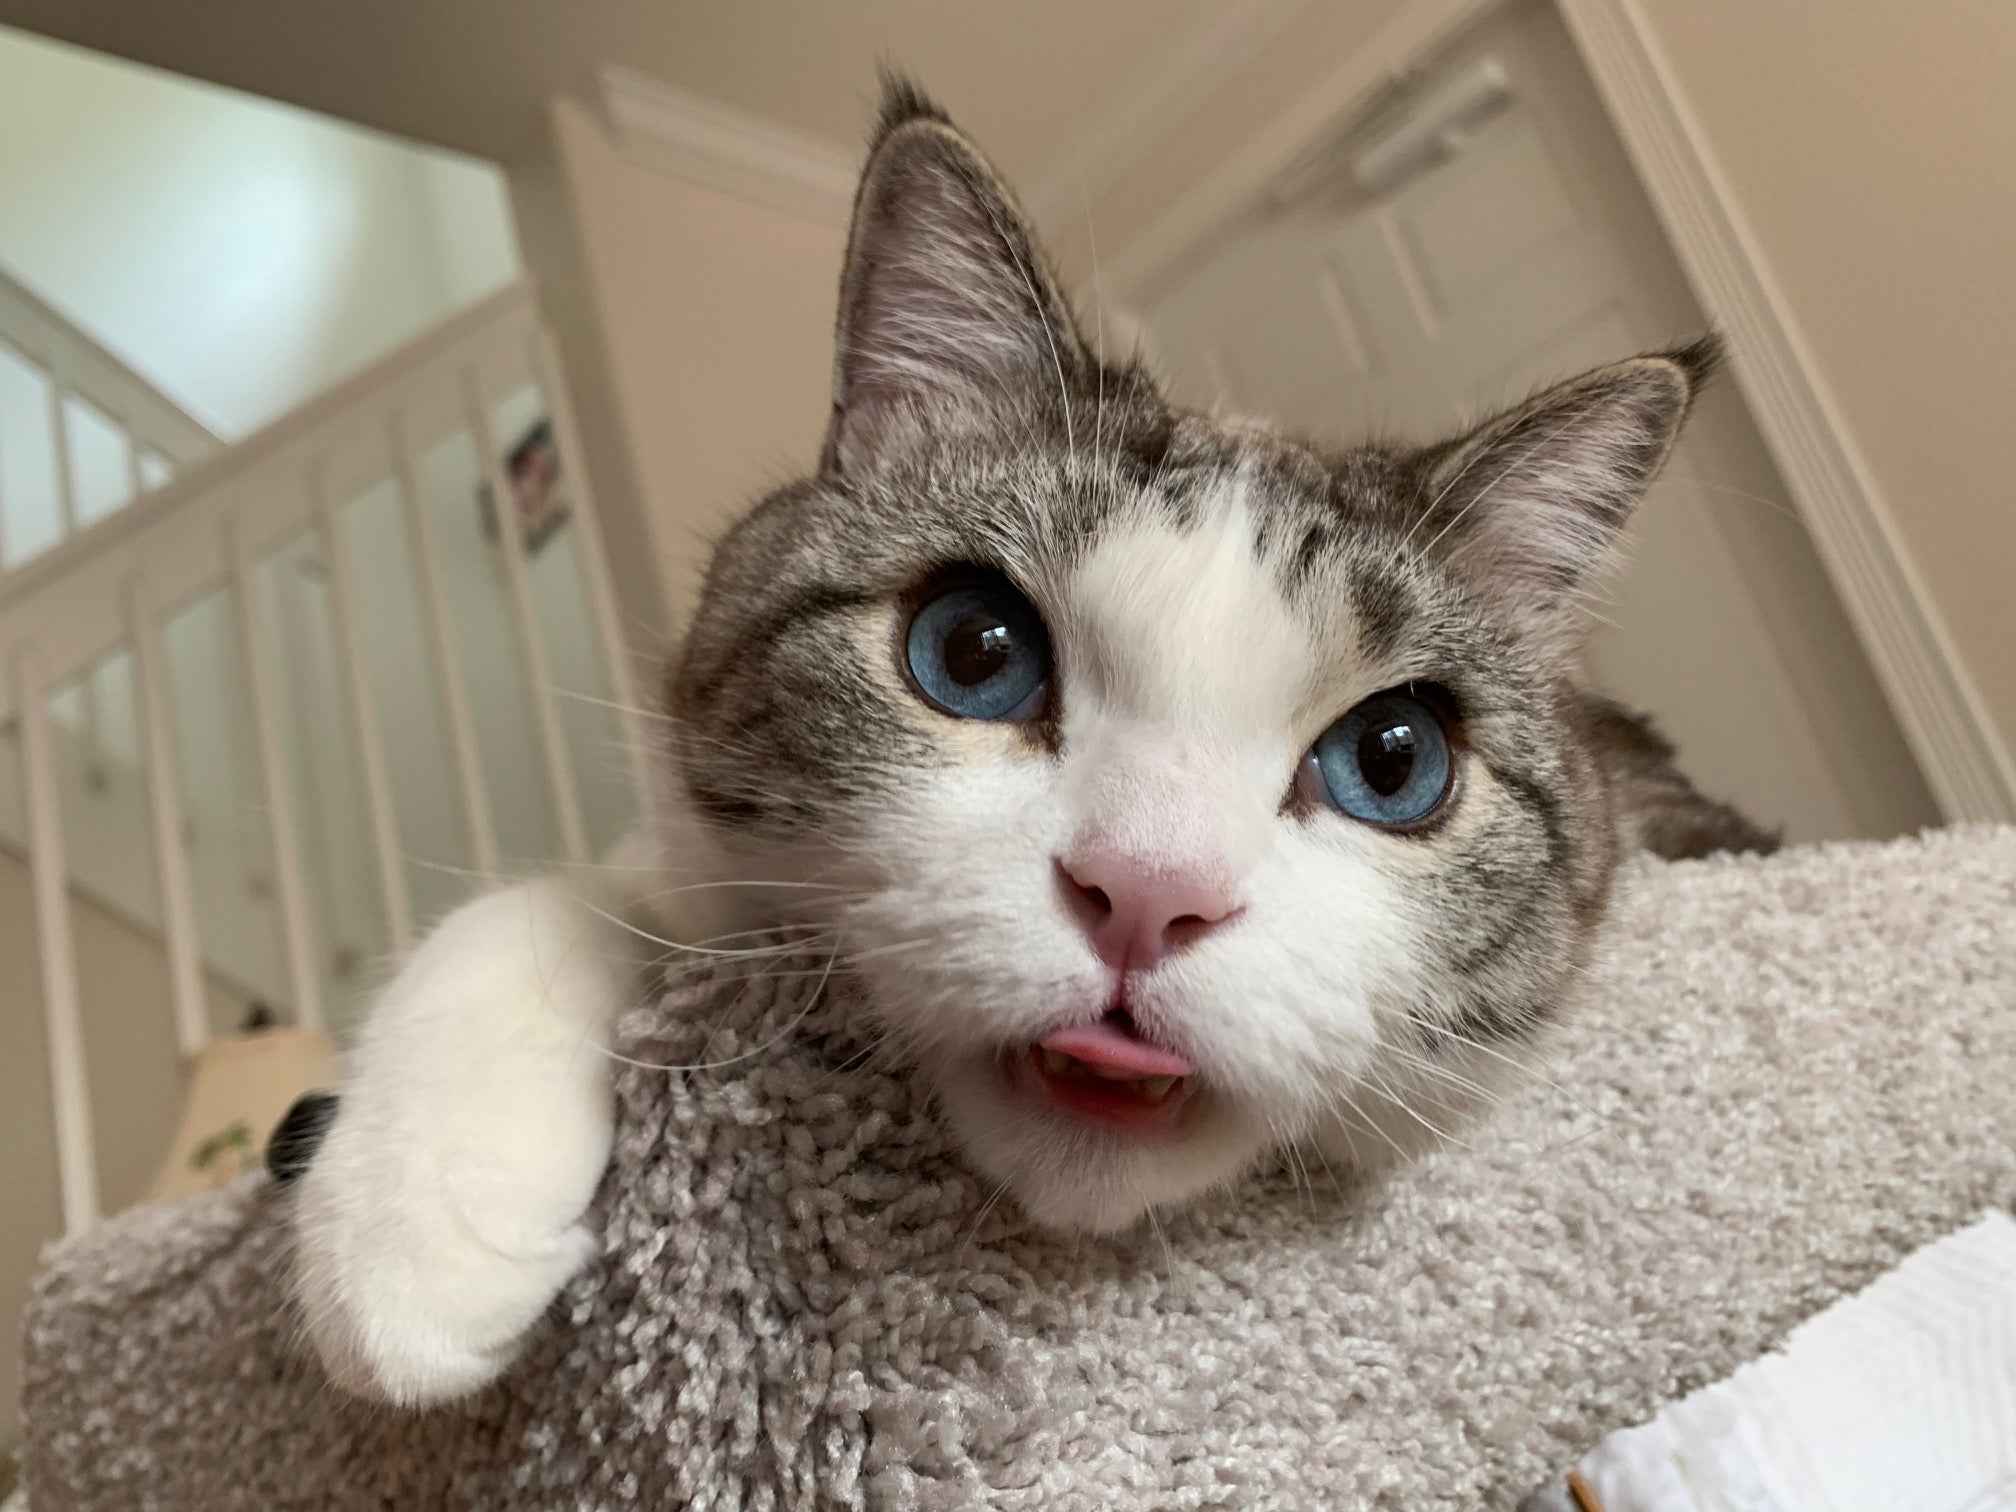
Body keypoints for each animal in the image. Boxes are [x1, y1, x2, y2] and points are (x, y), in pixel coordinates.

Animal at [284, 80, 1766, 1411]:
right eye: (974, 652)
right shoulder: (686, 866)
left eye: (1394, 761)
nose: (1148, 894)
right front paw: (412, 1232)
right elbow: (557, 904)